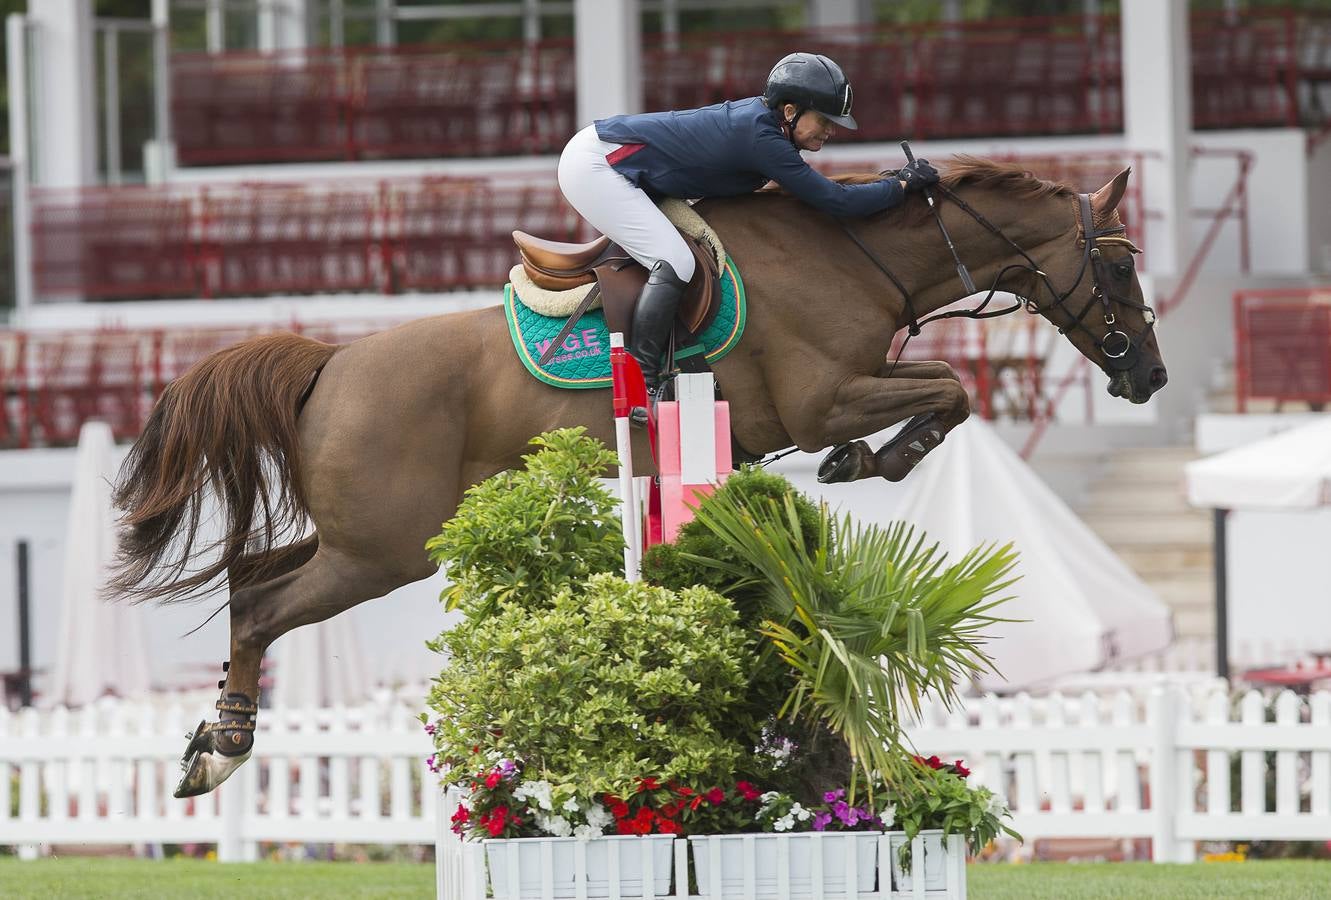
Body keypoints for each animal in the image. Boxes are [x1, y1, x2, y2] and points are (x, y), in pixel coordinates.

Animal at [111, 154, 1165, 793]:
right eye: (1119, 267)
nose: (1148, 376)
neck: (856, 257)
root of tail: (330, 362)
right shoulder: (824, 399)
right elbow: (947, 388)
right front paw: (878, 456)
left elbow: (947, 390)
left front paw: (880, 456)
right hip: (385, 550)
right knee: (260, 605)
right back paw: (226, 748)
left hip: (356, 539)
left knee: (249, 576)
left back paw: (207, 742)